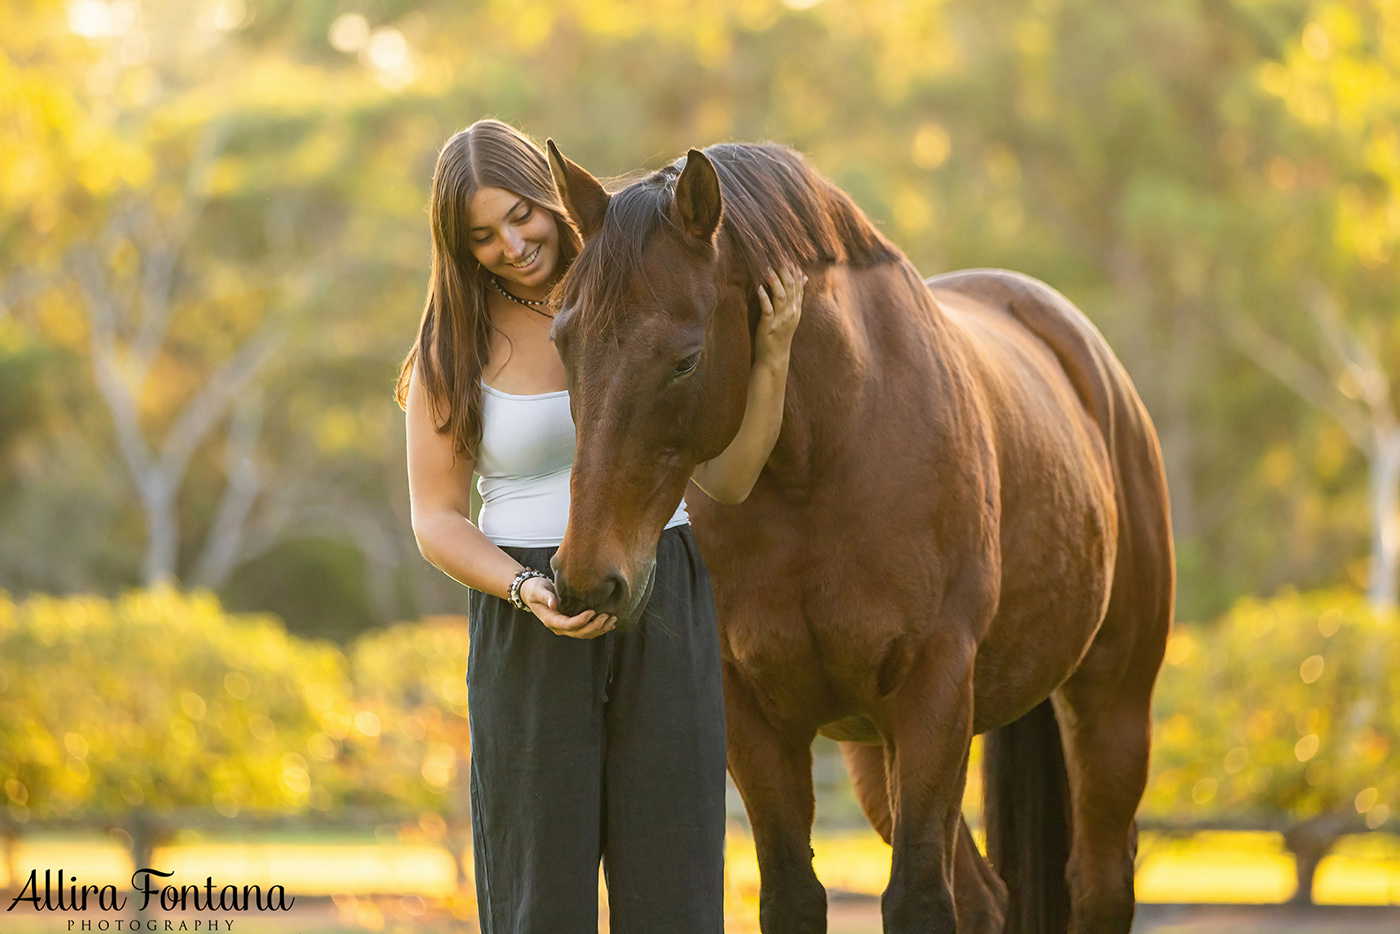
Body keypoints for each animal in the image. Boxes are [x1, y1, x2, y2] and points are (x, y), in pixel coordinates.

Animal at [543, 140, 1170, 934]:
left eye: (685, 360)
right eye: (562, 343)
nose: (587, 578)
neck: (817, 459)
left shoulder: (934, 690)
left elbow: (919, 900)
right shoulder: (755, 717)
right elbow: (792, 895)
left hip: (1110, 708)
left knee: (1098, 884)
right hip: (877, 755)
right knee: (986, 897)